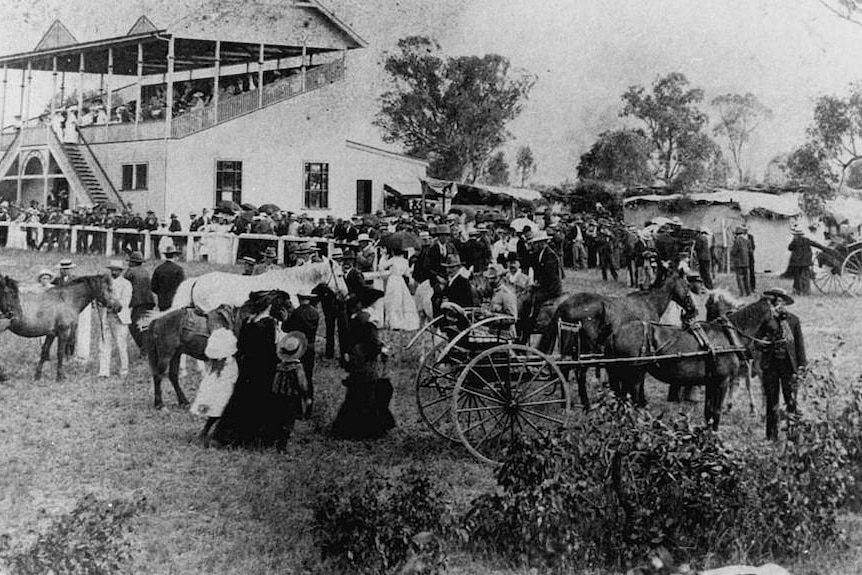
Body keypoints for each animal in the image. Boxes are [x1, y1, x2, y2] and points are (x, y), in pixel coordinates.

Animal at [139, 292, 294, 410]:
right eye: (286, 302)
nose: (291, 316)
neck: (241, 321)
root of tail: (157, 320)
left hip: (176, 354)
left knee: (173, 376)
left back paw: (184, 402)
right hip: (166, 354)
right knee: (158, 375)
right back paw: (160, 404)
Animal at [604, 300, 772, 430]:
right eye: (778, 316)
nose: (771, 346)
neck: (728, 337)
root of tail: (614, 334)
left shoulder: (711, 382)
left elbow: (708, 411)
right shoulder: (722, 382)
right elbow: (716, 411)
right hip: (634, 375)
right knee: (631, 403)